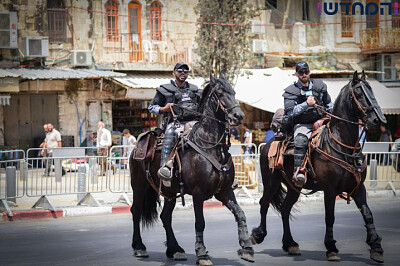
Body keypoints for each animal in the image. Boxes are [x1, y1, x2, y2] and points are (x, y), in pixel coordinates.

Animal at [131, 73, 255, 266]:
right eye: (220, 93)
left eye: (233, 92)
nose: (239, 115)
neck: (210, 146)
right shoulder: (198, 193)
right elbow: (200, 223)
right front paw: (202, 254)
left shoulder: (224, 191)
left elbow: (240, 214)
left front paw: (247, 248)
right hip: (139, 186)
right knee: (136, 211)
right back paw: (139, 247)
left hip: (169, 192)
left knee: (165, 216)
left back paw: (175, 249)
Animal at [252, 70, 386, 262]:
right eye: (359, 93)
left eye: (372, 90)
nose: (377, 120)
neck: (342, 144)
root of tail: (268, 143)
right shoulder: (330, 190)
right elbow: (330, 217)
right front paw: (331, 248)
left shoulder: (359, 188)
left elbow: (368, 215)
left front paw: (376, 247)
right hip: (272, 182)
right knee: (264, 203)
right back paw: (258, 235)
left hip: (293, 187)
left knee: (285, 209)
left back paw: (290, 244)